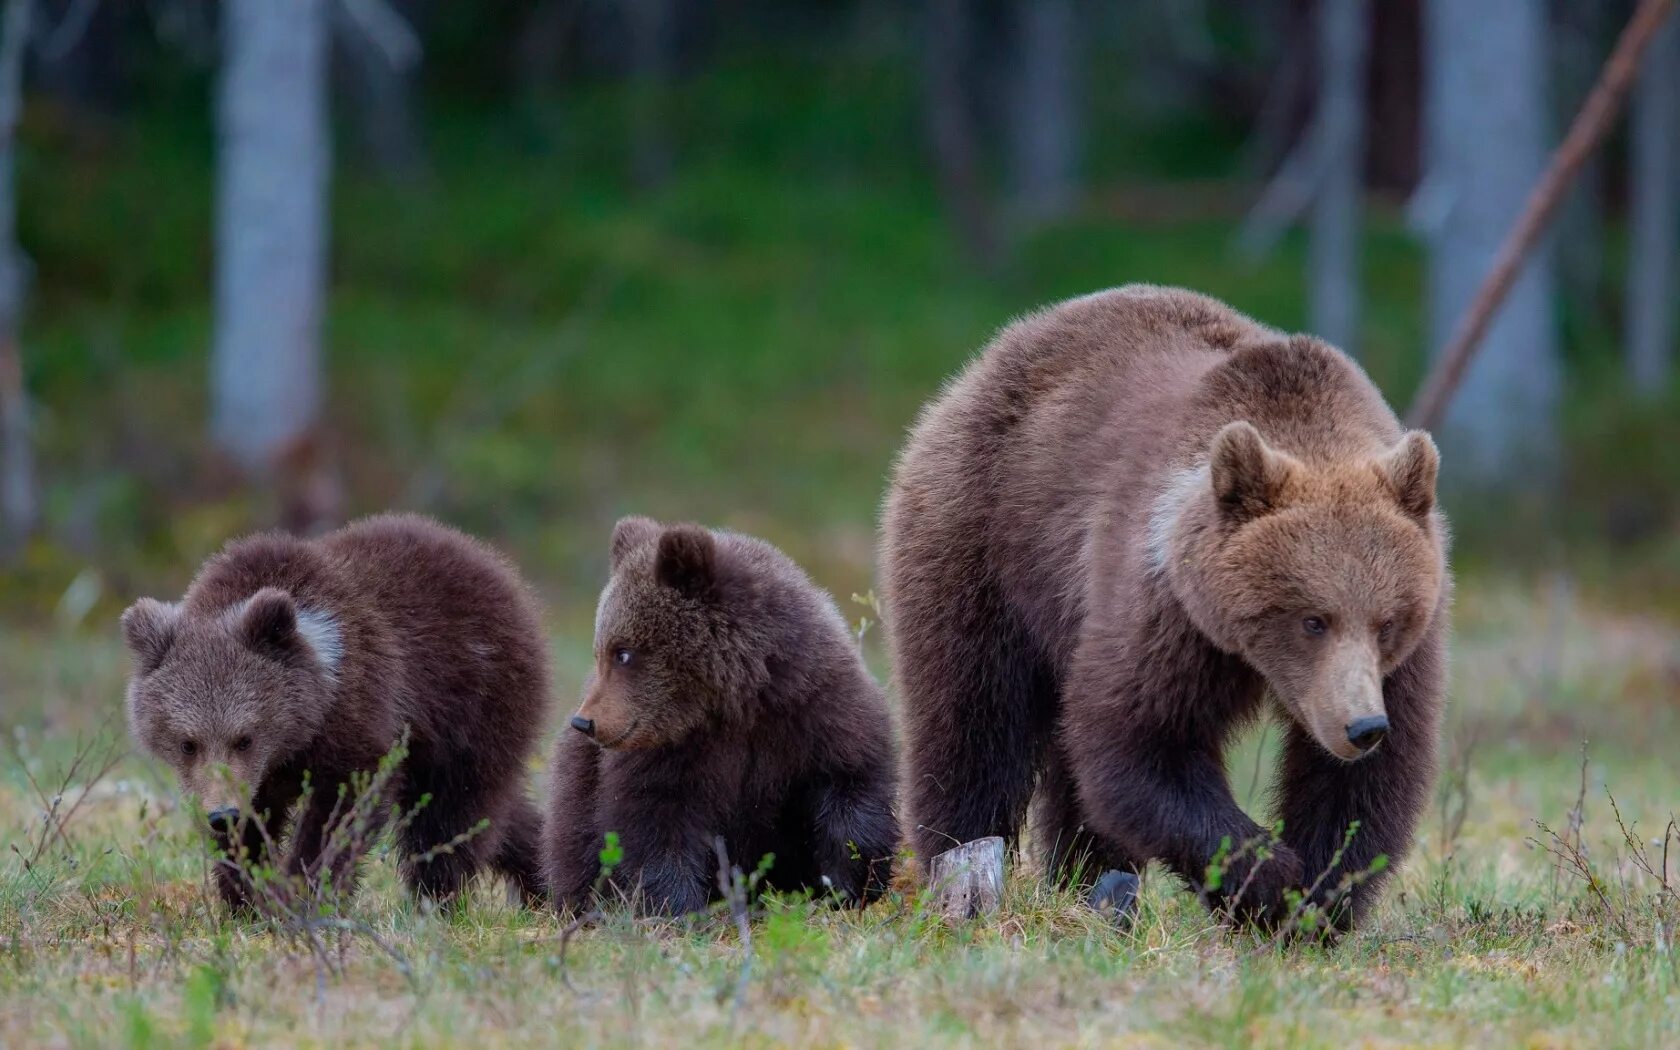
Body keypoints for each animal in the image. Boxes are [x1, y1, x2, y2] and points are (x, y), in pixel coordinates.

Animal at [887, 283, 1451, 927]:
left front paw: (1314, 899)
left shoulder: (1402, 658)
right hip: (985, 539)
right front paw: (1265, 875)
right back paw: (960, 867)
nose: (1361, 726)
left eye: (1387, 622)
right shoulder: (1166, 610)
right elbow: (1142, 743)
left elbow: (1363, 786)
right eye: (1312, 619)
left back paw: (1087, 883)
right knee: (974, 718)